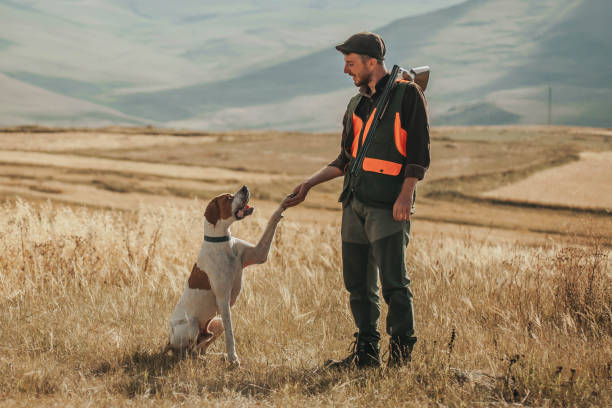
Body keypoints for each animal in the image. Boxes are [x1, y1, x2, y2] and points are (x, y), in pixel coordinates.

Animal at [166, 185, 288, 366]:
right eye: (228, 198)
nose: (245, 187)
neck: (222, 241)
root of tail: (168, 338)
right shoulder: (223, 299)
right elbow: (231, 335)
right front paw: (233, 358)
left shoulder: (259, 254)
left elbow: (272, 221)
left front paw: (285, 203)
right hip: (191, 324)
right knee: (184, 351)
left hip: (216, 322)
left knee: (199, 348)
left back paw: (211, 356)